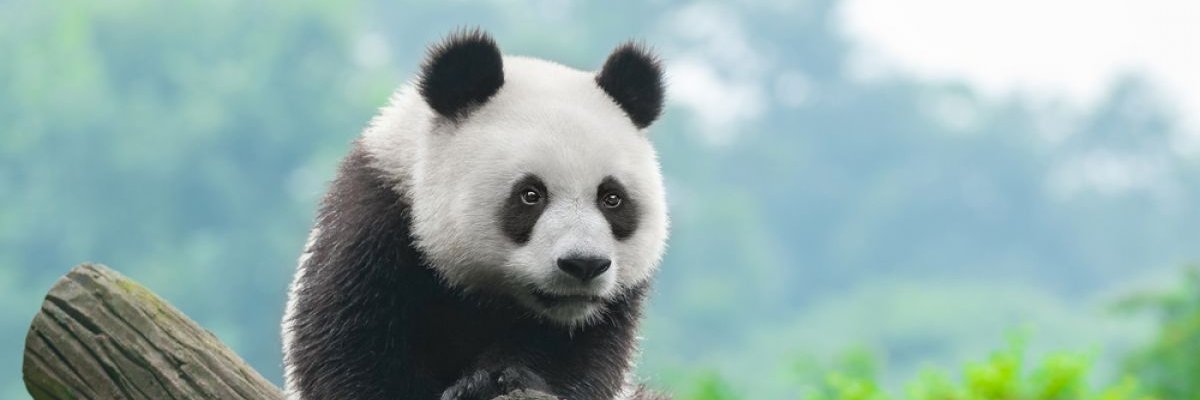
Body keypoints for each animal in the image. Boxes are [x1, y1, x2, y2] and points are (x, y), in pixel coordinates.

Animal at [281, 29, 670, 400]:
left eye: (612, 199)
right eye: (530, 195)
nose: (583, 264)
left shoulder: (603, 313)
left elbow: (578, 356)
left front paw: (494, 380)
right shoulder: (375, 222)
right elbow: (351, 348)